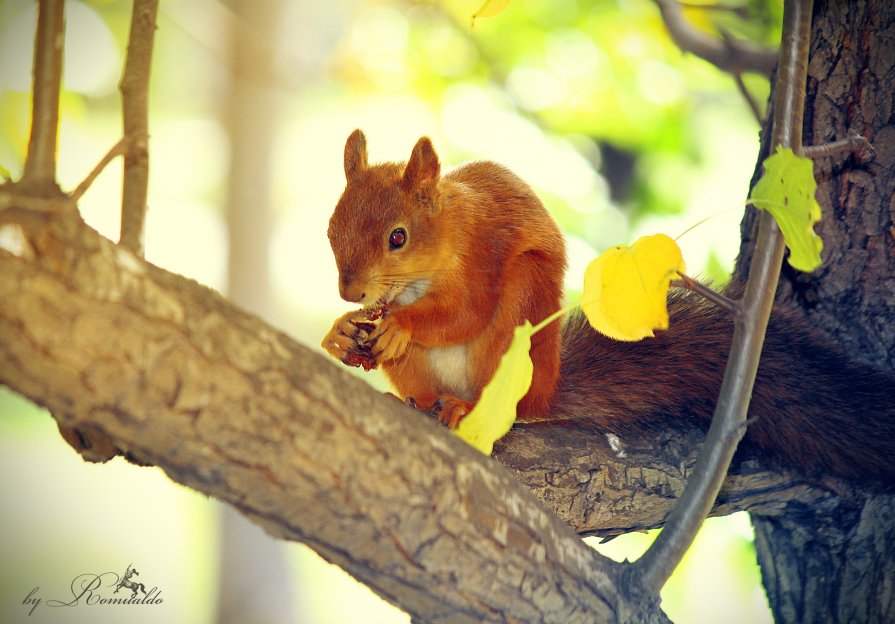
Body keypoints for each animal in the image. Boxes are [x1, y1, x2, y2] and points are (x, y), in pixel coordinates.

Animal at [324, 129, 895, 486]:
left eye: (398, 237)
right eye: (331, 230)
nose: (352, 294)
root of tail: (550, 389)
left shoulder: (482, 258)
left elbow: (465, 312)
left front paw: (401, 325)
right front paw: (342, 332)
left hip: (519, 317)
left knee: (515, 409)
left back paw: (468, 407)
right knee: (424, 391)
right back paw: (413, 402)